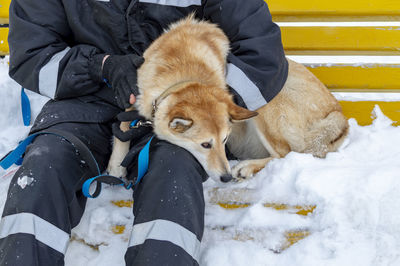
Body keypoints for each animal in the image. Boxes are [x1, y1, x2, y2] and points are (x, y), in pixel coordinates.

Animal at [106, 15, 346, 183]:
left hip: (266, 102)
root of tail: (338, 114)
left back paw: (247, 166)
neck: (182, 75)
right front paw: (116, 165)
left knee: (287, 154)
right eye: (205, 144)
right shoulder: (135, 94)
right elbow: (123, 126)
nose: (226, 177)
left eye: (224, 140)